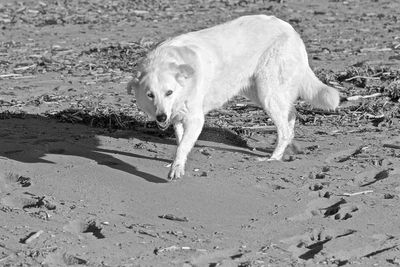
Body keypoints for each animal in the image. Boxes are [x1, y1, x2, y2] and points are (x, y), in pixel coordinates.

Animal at [127, 15, 338, 181]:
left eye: (169, 92)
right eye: (150, 95)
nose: (161, 117)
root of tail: (292, 30)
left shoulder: (195, 118)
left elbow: (182, 145)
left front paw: (176, 168)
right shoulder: (178, 117)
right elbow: (181, 141)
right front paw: (179, 161)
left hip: (267, 93)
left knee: (284, 129)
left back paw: (273, 158)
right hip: (258, 91)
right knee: (291, 114)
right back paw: (290, 146)